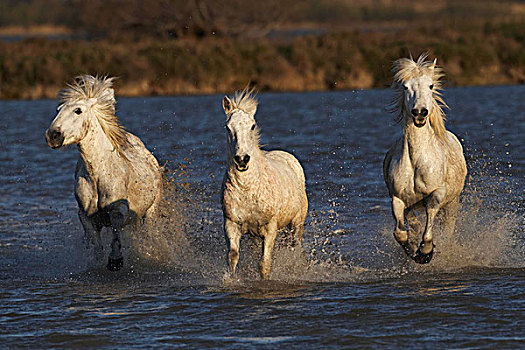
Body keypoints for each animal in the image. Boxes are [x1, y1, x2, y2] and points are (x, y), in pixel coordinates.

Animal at [45, 74, 162, 270]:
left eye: (78, 110)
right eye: (59, 110)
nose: (53, 136)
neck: (98, 175)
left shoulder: (118, 211)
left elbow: (115, 238)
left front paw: (115, 261)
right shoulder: (86, 217)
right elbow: (97, 247)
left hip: (150, 212)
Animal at [220, 89, 308, 280]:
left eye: (252, 126)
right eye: (228, 127)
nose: (242, 160)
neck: (247, 189)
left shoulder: (270, 229)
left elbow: (265, 264)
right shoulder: (231, 225)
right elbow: (232, 257)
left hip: (296, 224)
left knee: (295, 247)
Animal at [380, 54, 466, 262]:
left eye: (430, 85)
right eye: (405, 86)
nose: (420, 113)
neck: (416, 160)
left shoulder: (437, 193)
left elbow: (429, 224)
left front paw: (426, 251)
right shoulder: (398, 198)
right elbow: (400, 232)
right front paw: (413, 251)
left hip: (452, 203)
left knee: (447, 229)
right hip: (413, 206)